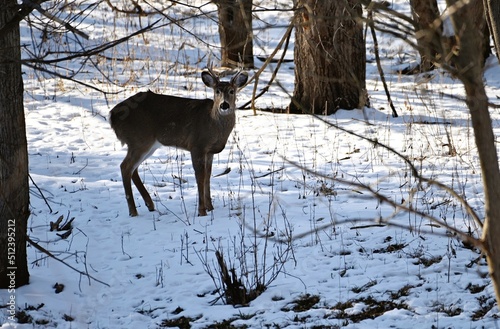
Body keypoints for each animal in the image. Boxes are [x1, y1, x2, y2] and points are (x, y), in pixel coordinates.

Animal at [111, 68, 248, 215]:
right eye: (217, 91)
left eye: (232, 91)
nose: (224, 105)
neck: (213, 123)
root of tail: (112, 116)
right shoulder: (197, 145)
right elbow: (200, 176)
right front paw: (202, 211)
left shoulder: (209, 151)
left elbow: (208, 176)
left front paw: (210, 207)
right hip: (139, 139)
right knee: (125, 167)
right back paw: (133, 211)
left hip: (147, 144)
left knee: (133, 169)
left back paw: (150, 205)